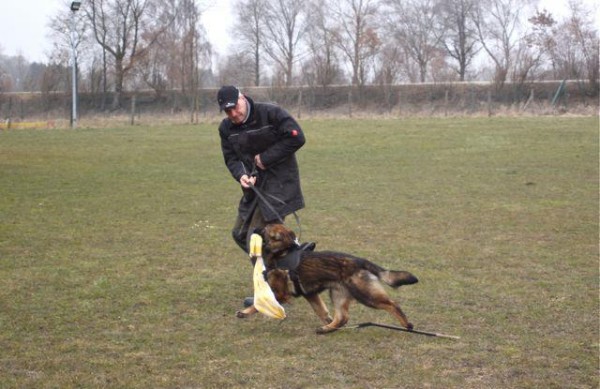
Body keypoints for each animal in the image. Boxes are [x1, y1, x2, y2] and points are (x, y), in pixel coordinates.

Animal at [234, 223, 418, 332]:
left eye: (265, 229)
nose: (252, 229)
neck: (282, 253)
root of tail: (360, 261)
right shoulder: (310, 294)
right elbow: (321, 311)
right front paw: (326, 320)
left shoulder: (280, 294)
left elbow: (258, 305)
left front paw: (245, 312)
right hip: (338, 294)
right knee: (343, 317)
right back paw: (328, 328)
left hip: (365, 294)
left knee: (392, 304)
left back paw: (406, 324)